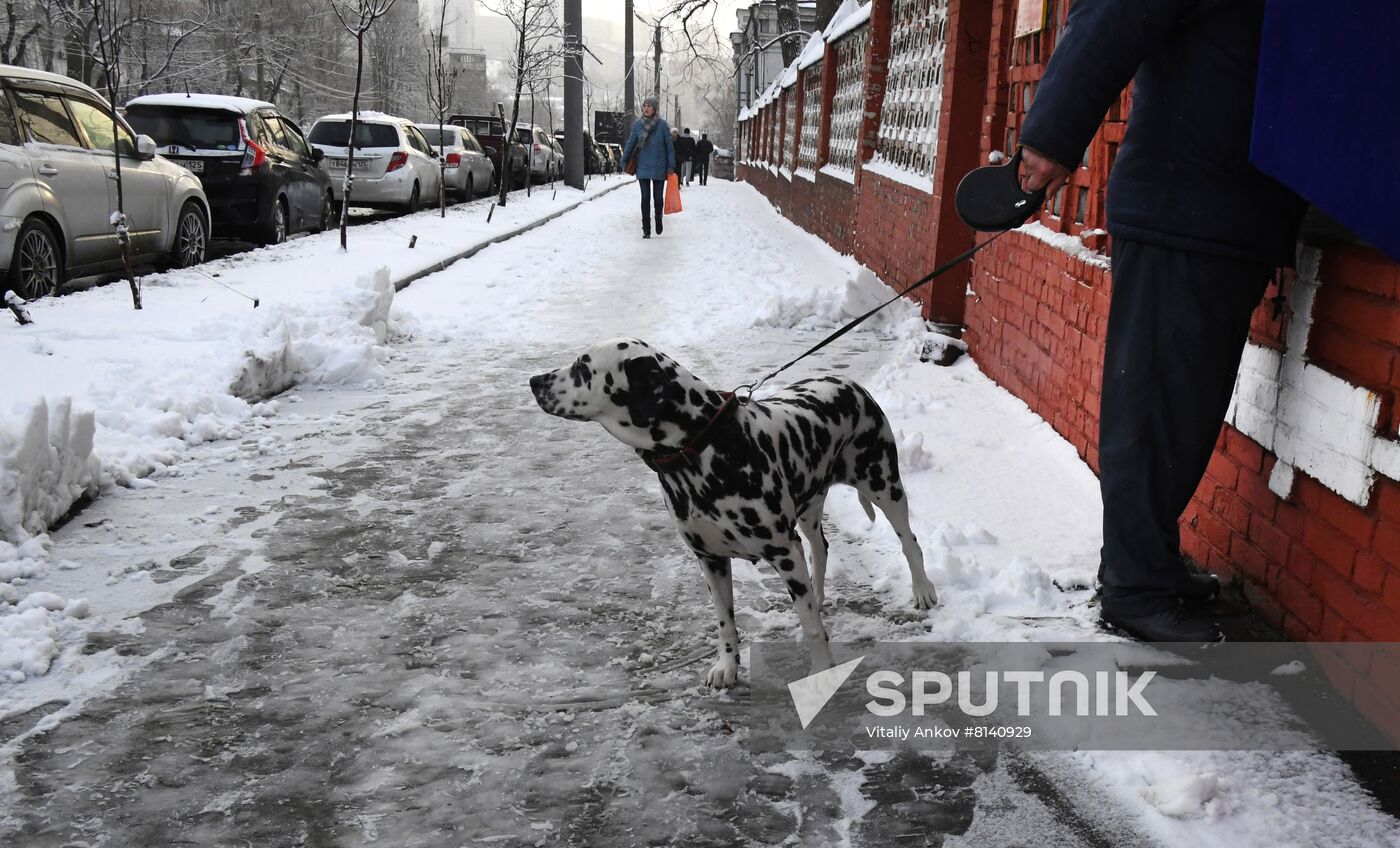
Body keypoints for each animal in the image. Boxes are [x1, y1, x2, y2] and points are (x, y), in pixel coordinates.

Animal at [526, 340, 940, 691]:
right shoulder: (710, 558)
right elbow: (725, 623)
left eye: (583, 367)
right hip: (808, 506)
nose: (533, 381)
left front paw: (821, 672)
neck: (703, 449)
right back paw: (818, 594)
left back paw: (922, 590)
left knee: (910, 541)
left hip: (883, 484)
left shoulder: (784, 552)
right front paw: (728, 667)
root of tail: (849, 383)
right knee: (820, 547)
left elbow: (811, 628)